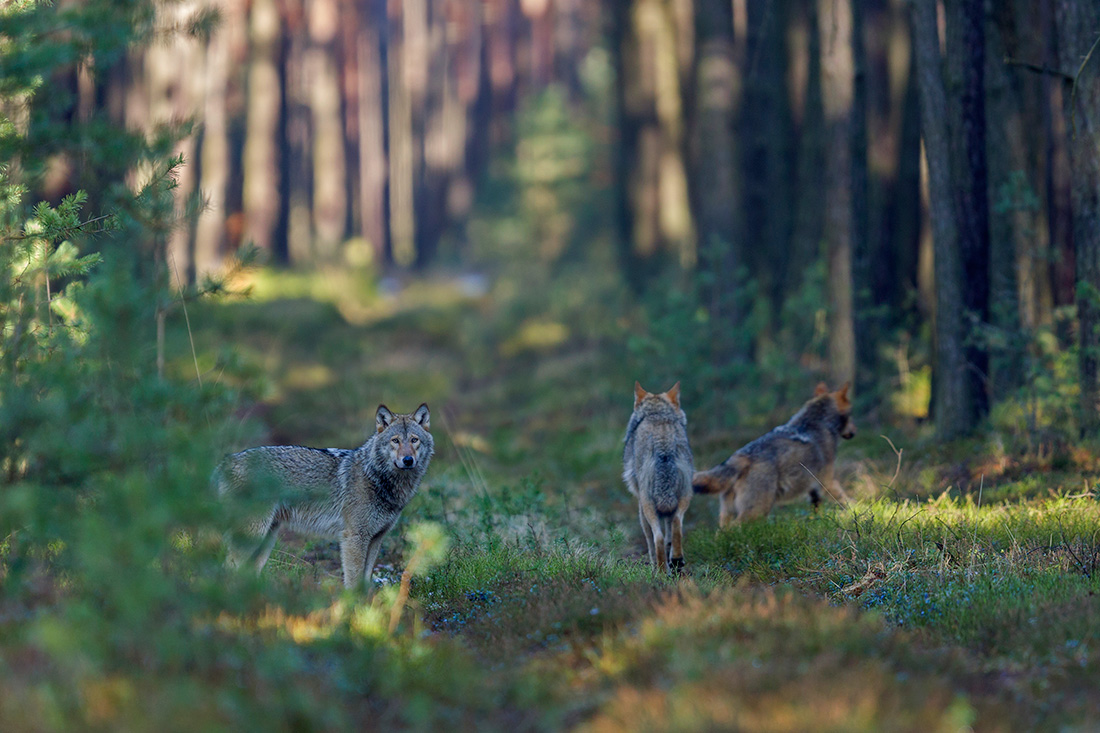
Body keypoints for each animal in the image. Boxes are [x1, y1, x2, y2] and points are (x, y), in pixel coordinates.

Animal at [214, 400, 433, 589]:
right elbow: (354, 584)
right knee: (227, 569)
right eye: (395, 441)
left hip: (266, 539)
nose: (408, 460)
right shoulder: (354, 538)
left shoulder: (376, 539)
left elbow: (364, 583)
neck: (377, 477)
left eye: (414, 440)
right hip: (253, 536)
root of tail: (227, 461)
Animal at [624, 378, 690, 572]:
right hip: (686, 495)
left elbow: (650, 540)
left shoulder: (640, 505)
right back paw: (676, 560)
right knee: (676, 524)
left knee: (657, 537)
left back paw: (660, 570)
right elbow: (669, 531)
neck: (656, 413)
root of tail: (663, 441)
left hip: (648, 505)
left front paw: (653, 563)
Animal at [690, 383, 853, 526]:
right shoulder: (828, 481)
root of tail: (740, 456)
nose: (854, 432)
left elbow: (816, 509)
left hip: (729, 514)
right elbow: (845, 499)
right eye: (851, 415)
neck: (818, 422)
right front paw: (854, 511)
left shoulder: (813, 489)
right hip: (756, 512)